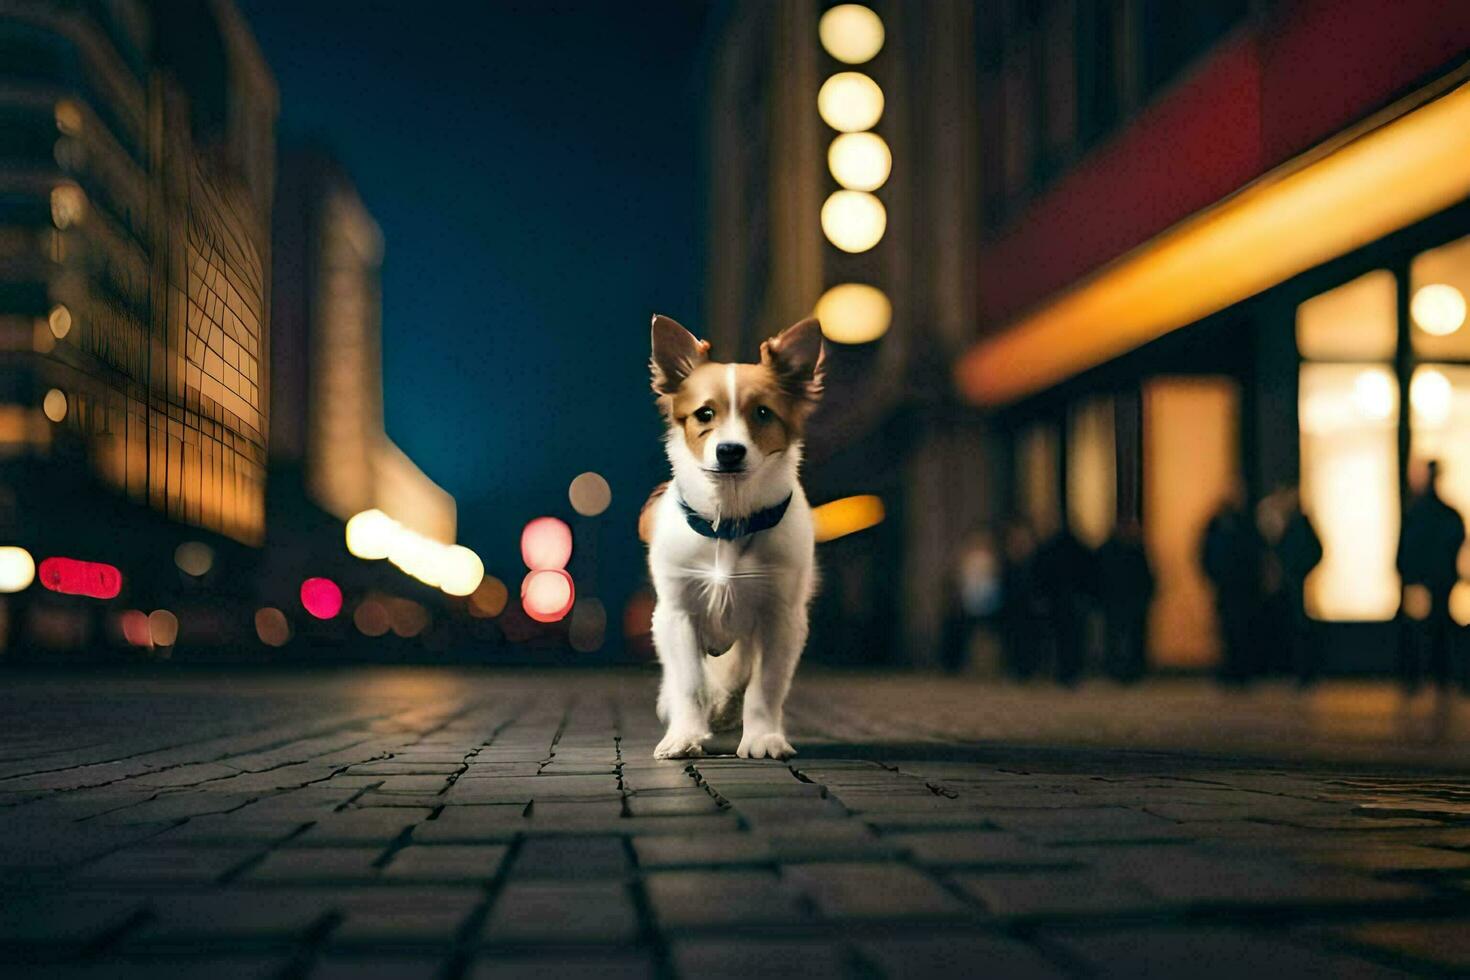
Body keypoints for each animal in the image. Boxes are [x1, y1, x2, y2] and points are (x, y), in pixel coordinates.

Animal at [640, 314, 829, 758]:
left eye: (762, 413)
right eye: (704, 413)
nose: (729, 451)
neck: (728, 519)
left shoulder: (782, 617)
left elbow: (766, 685)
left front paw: (763, 738)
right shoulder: (677, 613)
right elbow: (690, 683)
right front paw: (685, 735)